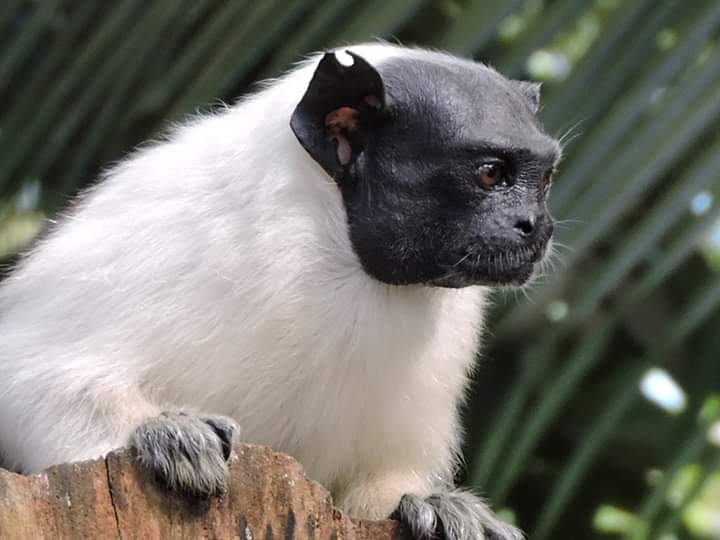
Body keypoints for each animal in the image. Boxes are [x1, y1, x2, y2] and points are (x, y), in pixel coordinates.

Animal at [0, 44, 560, 536]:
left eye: (545, 180)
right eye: (490, 175)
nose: (538, 226)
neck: (332, 256)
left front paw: (429, 504)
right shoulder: (156, 241)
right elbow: (29, 381)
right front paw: (163, 433)